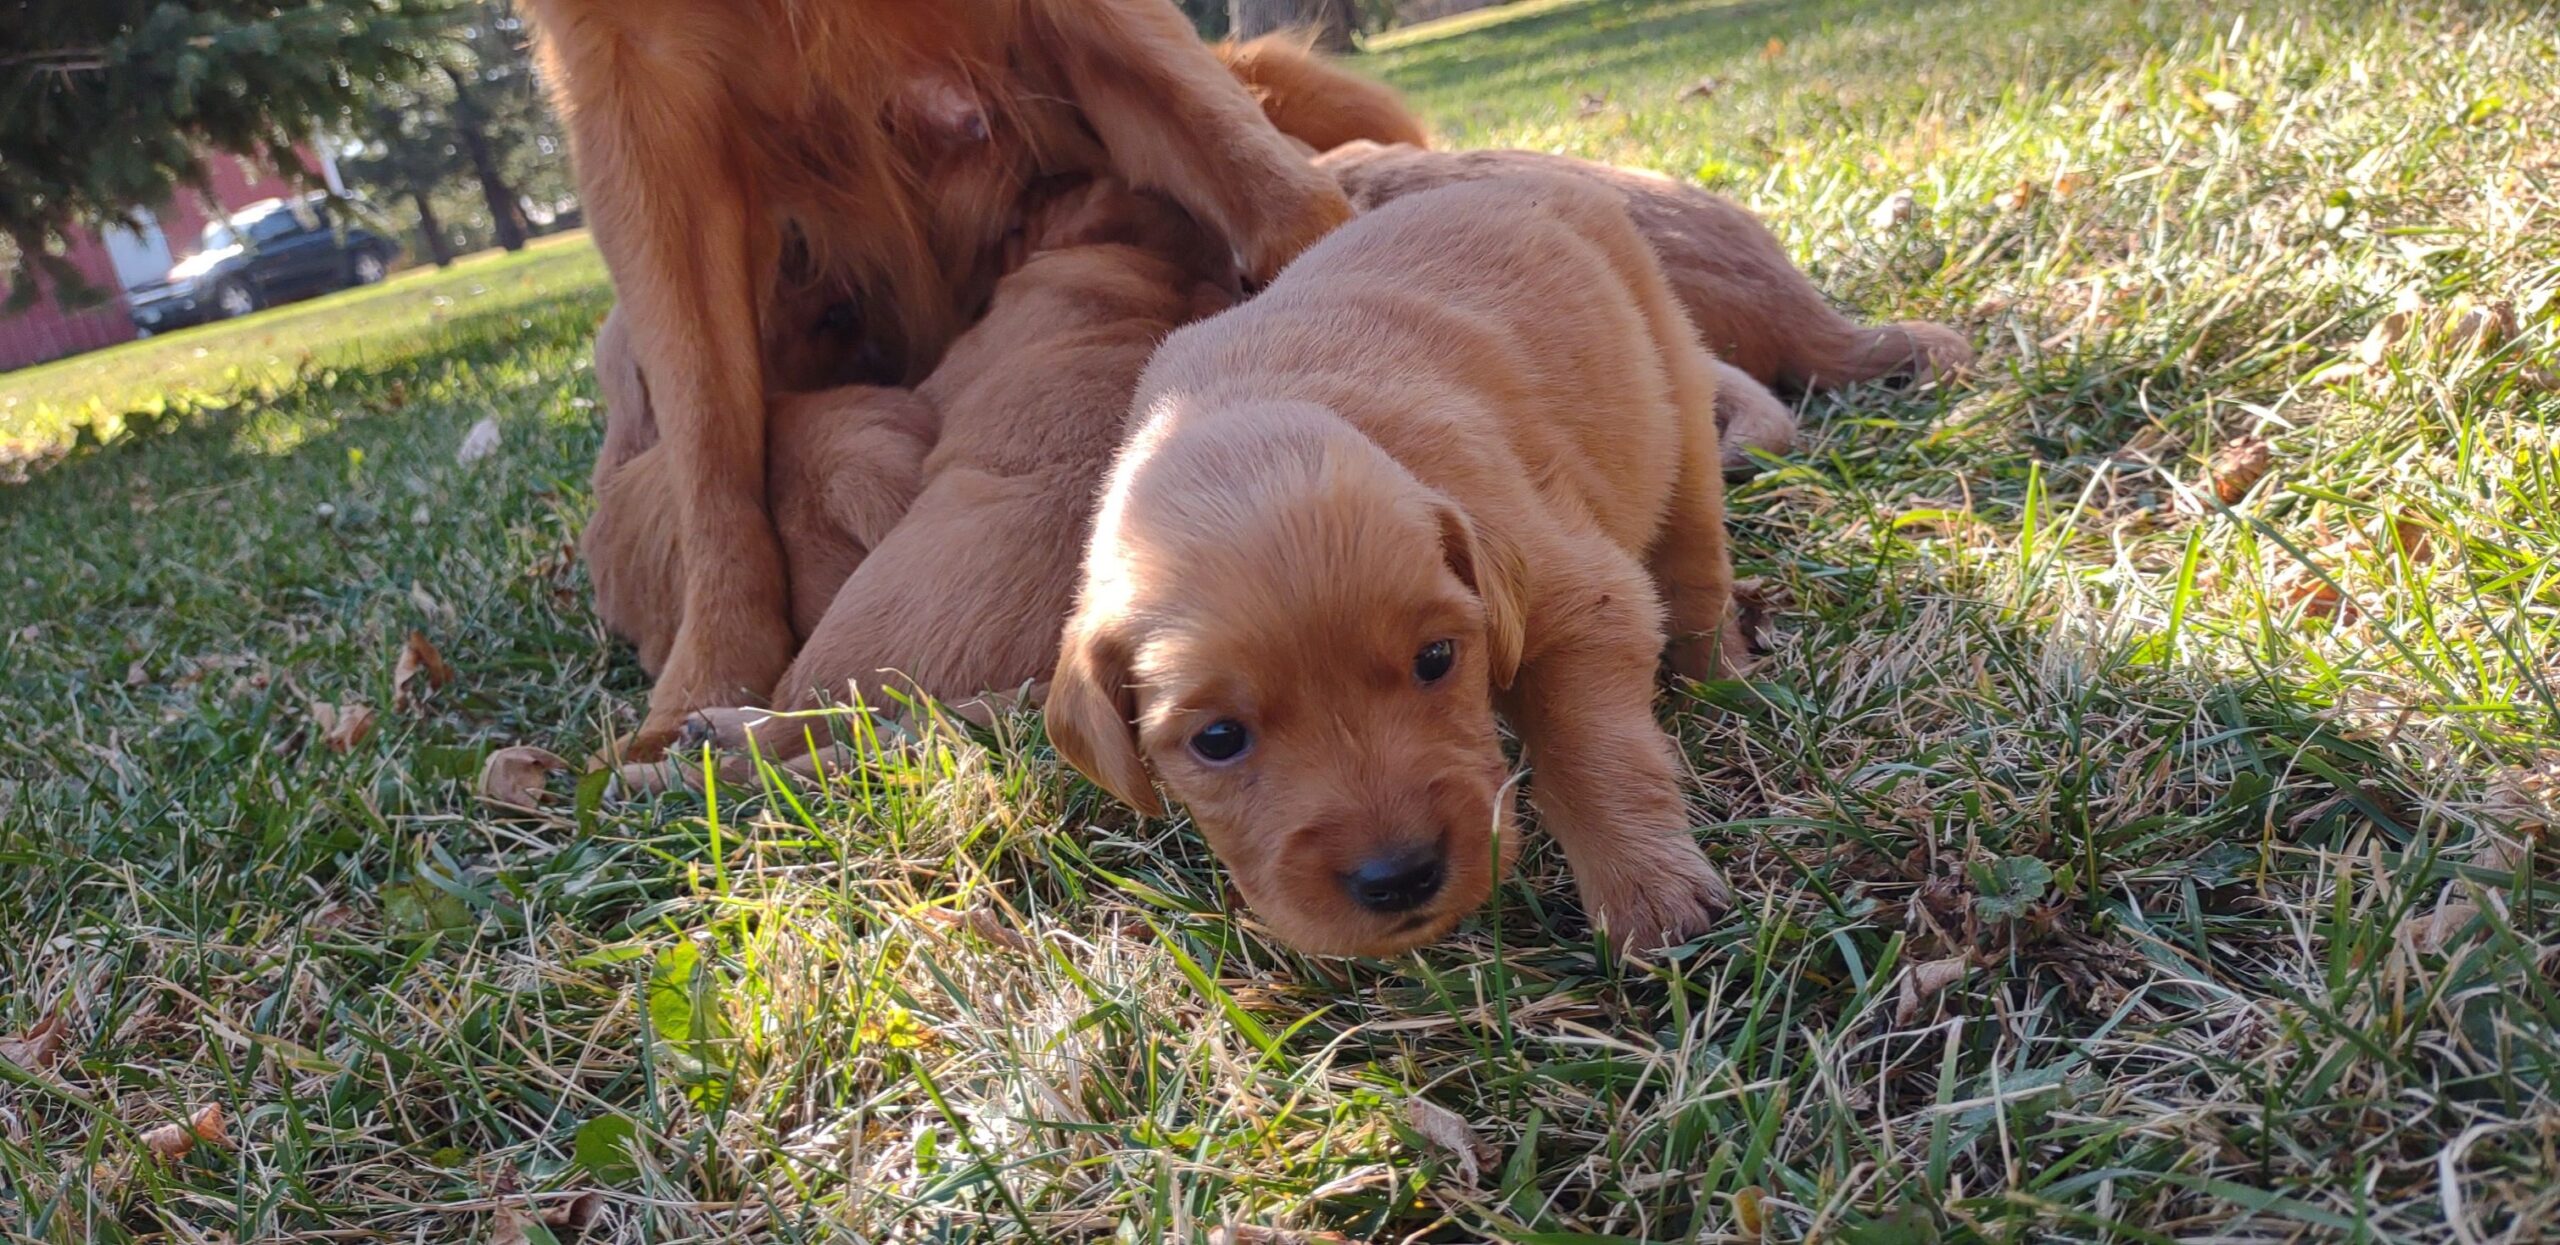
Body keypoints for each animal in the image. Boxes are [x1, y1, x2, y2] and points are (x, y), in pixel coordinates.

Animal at [1049, 172, 1751, 952]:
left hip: (1676, 401)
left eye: (1436, 658)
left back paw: (1725, 678)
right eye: (1218, 739)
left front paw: (1647, 889)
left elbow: (1594, 745)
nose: (1402, 877)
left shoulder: (1577, 594)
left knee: (1695, 567)